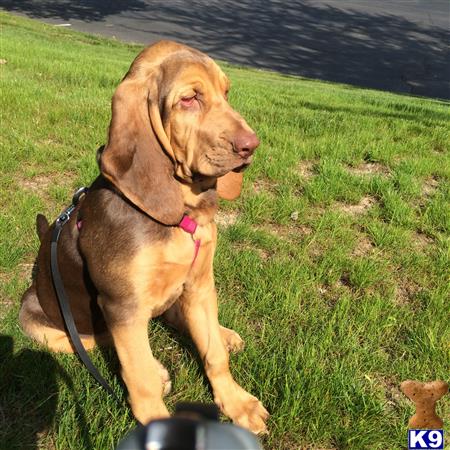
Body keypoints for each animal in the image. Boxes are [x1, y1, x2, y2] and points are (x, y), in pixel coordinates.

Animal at [19, 41, 268, 432]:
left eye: (226, 93)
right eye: (189, 98)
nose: (251, 146)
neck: (181, 216)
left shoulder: (200, 284)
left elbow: (212, 353)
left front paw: (237, 402)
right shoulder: (123, 305)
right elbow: (140, 378)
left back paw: (224, 333)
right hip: (35, 316)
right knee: (88, 341)